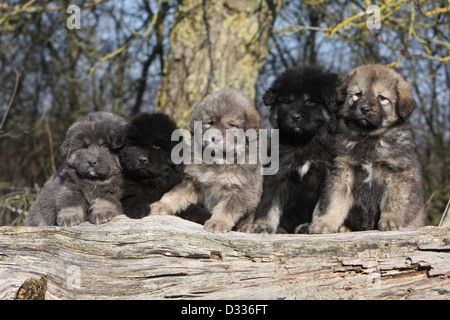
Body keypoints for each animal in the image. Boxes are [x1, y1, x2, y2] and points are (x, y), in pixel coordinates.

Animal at [151, 87, 264, 232]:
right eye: (210, 122)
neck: (218, 160)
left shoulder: (239, 190)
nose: (214, 138)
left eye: (231, 124)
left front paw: (218, 222)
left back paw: (247, 227)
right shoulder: (193, 181)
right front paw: (161, 205)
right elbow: (175, 194)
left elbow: (226, 208)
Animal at [251, 67, 340, 234]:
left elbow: (321, 207)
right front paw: (263, 225)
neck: (302, 142)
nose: (295, 117)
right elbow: (269, 202)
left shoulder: (327, 175)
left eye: (310, 101)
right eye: (287, 102)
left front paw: (313, 227)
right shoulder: (277, 174)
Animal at [308, 63, 424, 234]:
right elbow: (333, 201)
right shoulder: (342, 171)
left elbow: (392, 200)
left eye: (381, 97)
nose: (364, 109)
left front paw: (390, 220)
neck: (368, 136)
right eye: (358, 94)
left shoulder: (397, 172)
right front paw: (326, 222)